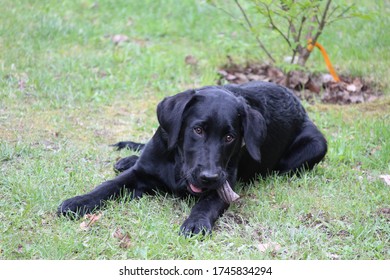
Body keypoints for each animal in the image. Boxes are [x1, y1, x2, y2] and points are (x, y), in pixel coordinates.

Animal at [57, 81, 326, 236]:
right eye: (198, 130)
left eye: (230, 137)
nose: (209, 176)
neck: (178, 167)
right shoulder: (140, 172)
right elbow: (107, 186)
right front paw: (79, 202)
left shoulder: (223, 185)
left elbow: (205, 204)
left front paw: (196, 222)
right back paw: (128, 158)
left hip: (317, 145)